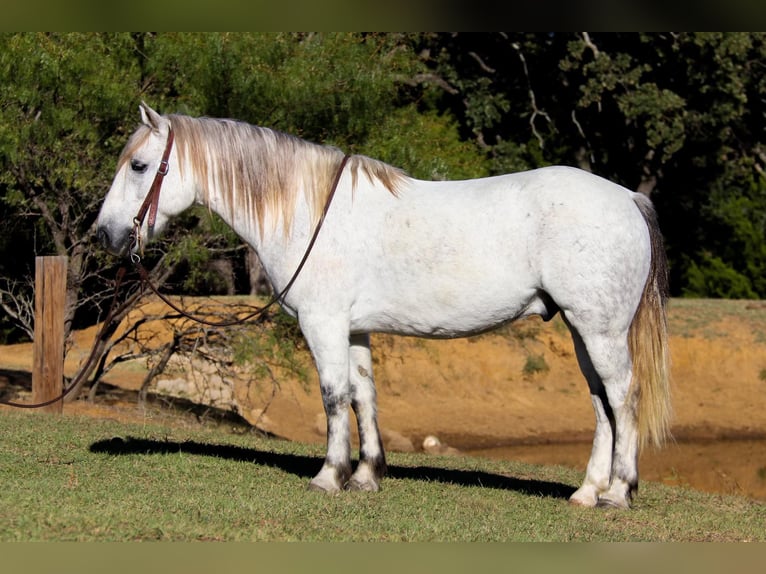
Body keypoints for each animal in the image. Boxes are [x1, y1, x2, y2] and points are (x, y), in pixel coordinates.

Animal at [96, 103, 672, 508]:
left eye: (140, 166)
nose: (105, 234)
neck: (309, 212)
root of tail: (627, 197)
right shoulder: (353, 329)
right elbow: (363, 397)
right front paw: (368, 475)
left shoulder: (323, 323)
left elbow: (333, 397)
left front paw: (329, 477)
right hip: (581, 330)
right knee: (601, 403)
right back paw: (586, 491)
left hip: (600, 330)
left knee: (623, 397)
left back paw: (618, 492)